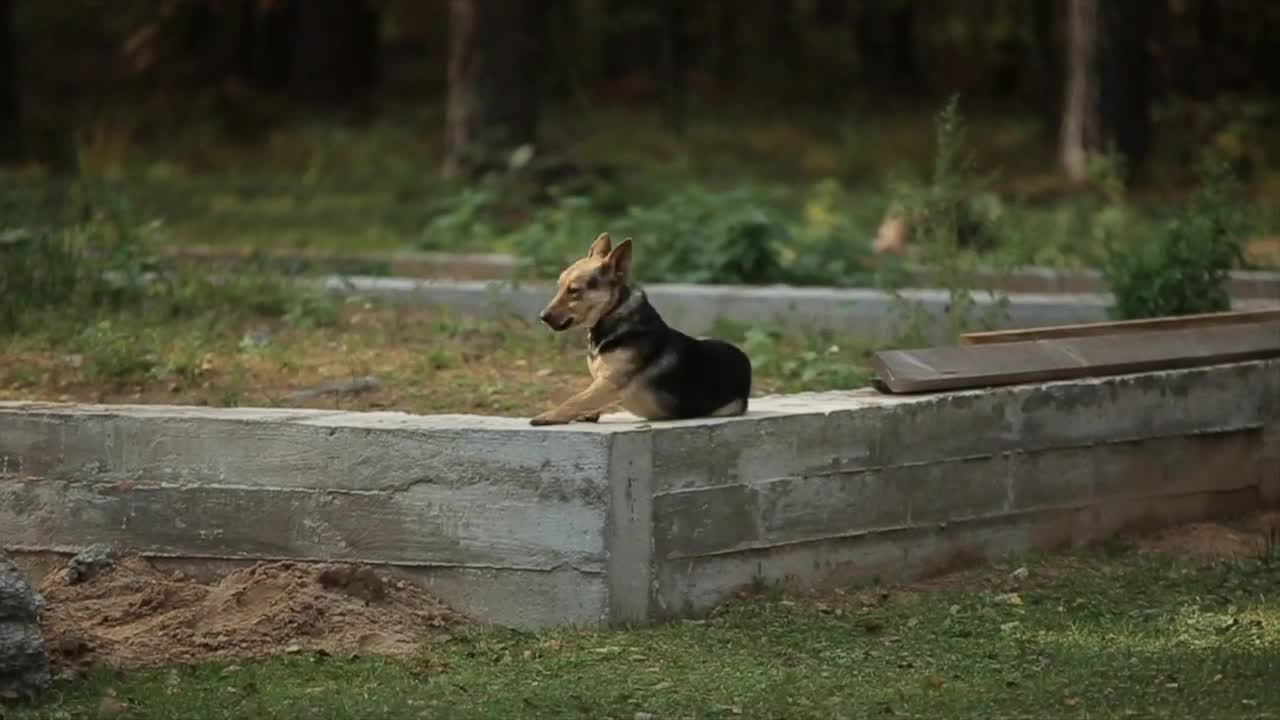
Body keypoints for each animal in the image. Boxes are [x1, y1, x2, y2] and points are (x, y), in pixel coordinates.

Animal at [527, 229, 747, 422]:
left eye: (574, 290)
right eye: (559, 286)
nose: (542, 316)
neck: (612, 313)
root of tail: (745, 361)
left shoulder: (609, 383)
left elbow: (575, 399)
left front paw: (549, 415)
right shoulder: (601, 384)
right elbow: (586, 399)